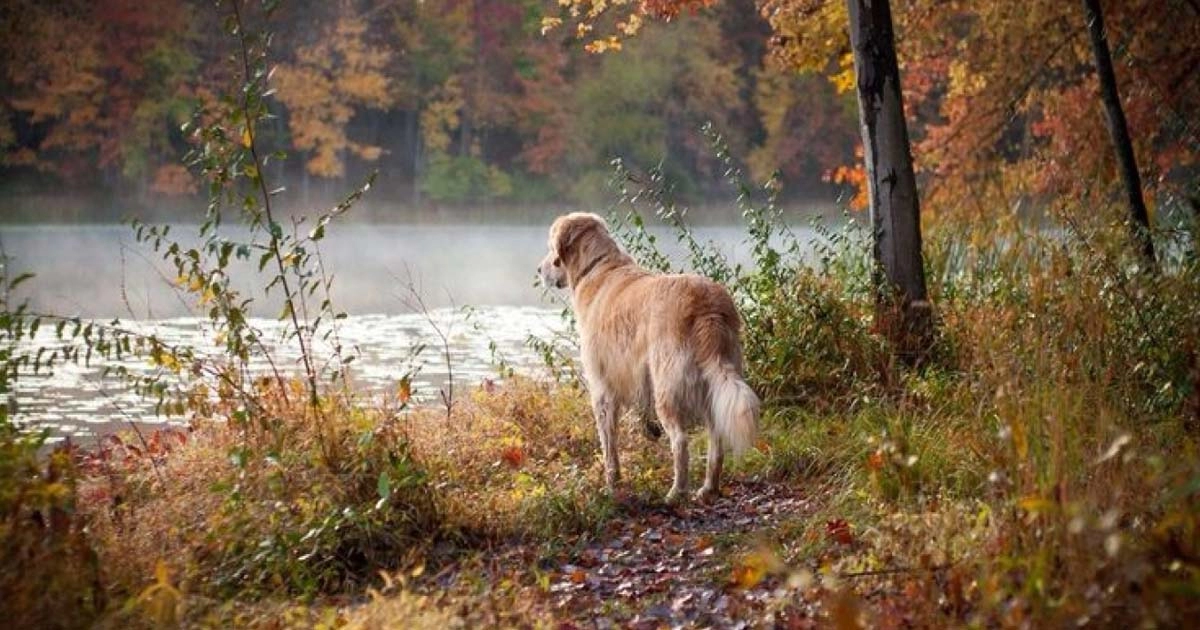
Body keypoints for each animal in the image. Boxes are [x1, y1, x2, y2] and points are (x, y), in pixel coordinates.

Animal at [542, 211, 758, 501]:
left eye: (550, 249)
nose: (539, 270)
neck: (596, 267)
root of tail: (707, 307)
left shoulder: (602, 387)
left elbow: (608, 445)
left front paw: (612, 484)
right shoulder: (637, 374)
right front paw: (648, 430)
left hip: (668, 386)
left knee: (681, 441)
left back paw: (676, 492)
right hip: (714, 380)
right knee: (716, 438)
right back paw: (708, 488)